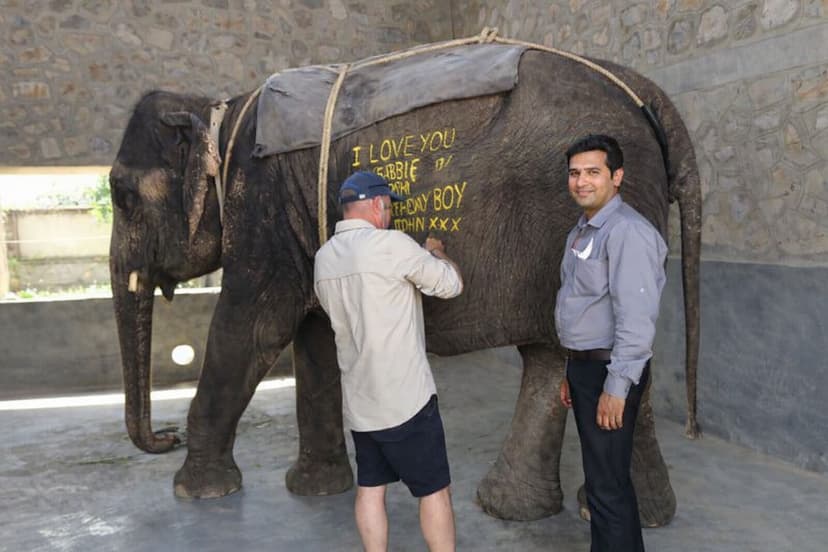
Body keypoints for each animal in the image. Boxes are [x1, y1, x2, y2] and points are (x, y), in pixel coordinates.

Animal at [109, 42, 700, 526]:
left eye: (121, 195)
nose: (165, 437)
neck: (221, 114)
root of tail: (646, 92)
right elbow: (315, 332)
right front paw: (317, 490)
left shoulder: (261, 202)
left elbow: (253, 326)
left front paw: (197, 493)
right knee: (570, 355)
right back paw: (561, 510)